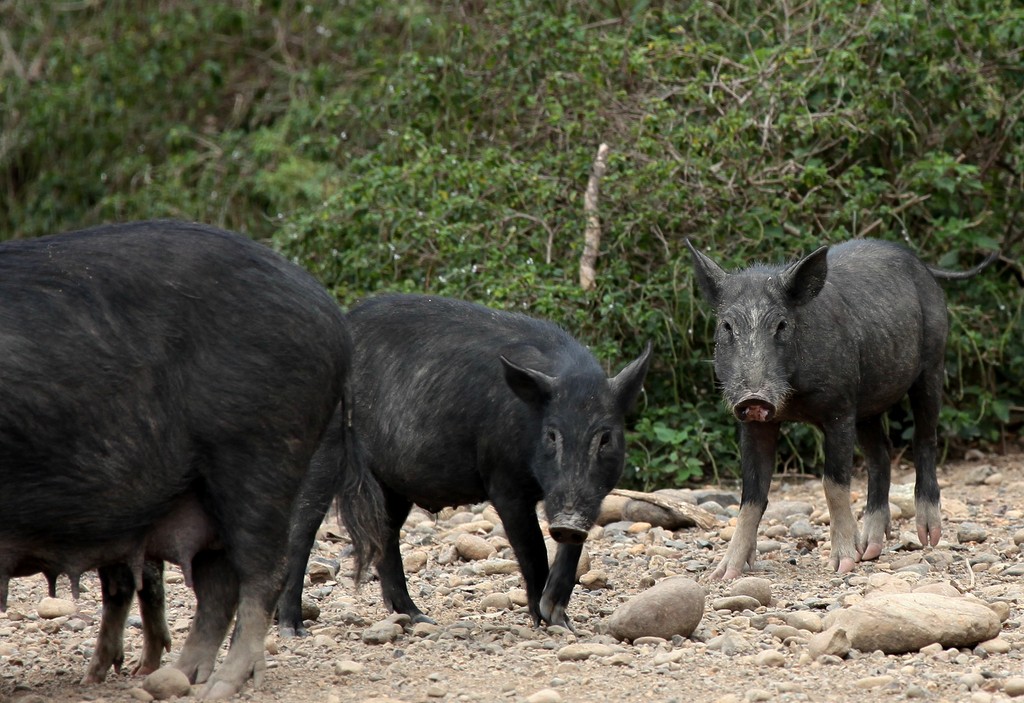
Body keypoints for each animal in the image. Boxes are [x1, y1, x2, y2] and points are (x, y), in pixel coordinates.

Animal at [0, 220, 381, 698]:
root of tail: (333, 318)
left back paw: (220, 686)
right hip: (202, 491)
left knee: (264, 571)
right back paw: (175, 677)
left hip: (259, 452)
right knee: (216, 584)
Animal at [311, 293, 651, 631]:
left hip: (393, 485)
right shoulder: (502, 481)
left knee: (386, 536)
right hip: (329, 447)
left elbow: (572, 546)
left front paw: (560, 619)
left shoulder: (589, 494)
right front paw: (544, 620)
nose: (568, 523)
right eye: (552, 434)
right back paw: (299, 624)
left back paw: (418, 619)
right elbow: (532, 548)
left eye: (605, 437)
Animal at [685, 238, 996, 579]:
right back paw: (870, 549)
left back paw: (928, 537)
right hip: (869, 406)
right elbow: (752, 495)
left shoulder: (841, 409)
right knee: (880, 454)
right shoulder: (756, 424)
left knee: (925, 439)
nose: (754, 397)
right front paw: (723, 573)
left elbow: (833, 484)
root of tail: (923, 266)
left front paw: (843, 563)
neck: (794, 402)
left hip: (933, 362)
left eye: (781, 325)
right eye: (727, 325)